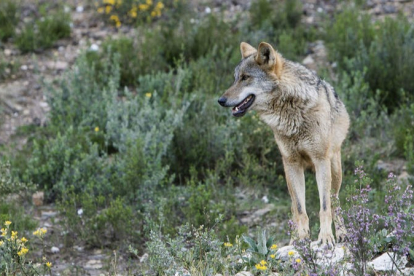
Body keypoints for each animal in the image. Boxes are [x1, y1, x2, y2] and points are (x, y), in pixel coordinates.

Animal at [218, 41, 350, 246]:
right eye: (235, 79)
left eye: (245, 78)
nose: (221, 100)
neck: (292, 112)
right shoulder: (291, 162)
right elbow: (300, 209)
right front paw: (301, 239)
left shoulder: (320, 160)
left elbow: (324, 207)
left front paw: (326, 237)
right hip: (290, 174)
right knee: (294, 208)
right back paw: (293, 239)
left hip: (334, 170)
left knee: (335, 202)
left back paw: (342, 234)